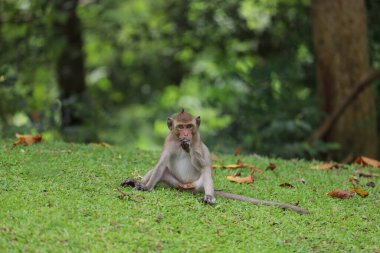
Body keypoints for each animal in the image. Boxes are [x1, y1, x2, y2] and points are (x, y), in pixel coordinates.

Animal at [121, 109, 308, 214]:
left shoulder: (197, 142)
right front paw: (145, 187)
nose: (186, 135)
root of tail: (186, 187)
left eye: (189, 127)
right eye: (180, 127)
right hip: (173, 181)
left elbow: (203, 164)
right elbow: (160, 165)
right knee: (158, 170)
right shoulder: (168, 142)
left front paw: (188, 147)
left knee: (206, 172)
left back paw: (209, 197)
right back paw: (136, 183)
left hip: (198, 185)